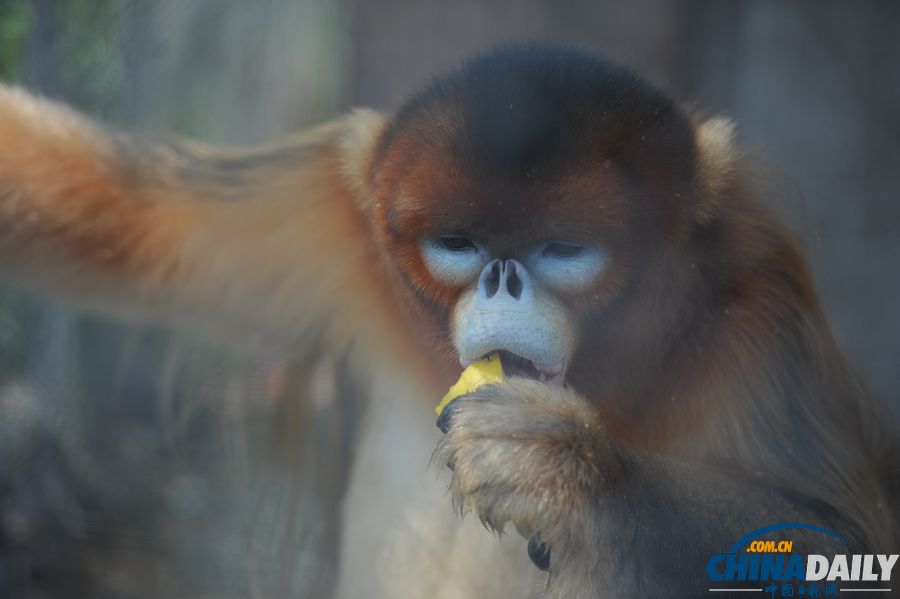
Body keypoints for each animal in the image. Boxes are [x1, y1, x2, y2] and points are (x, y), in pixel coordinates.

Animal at [0, 43, 896, 599]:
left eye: (562, 247)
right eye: (458, 243)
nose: (502, 280)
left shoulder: (757, 304)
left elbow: (844, 539)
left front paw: (575, 470)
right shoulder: (334, 212)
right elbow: (129, 214)